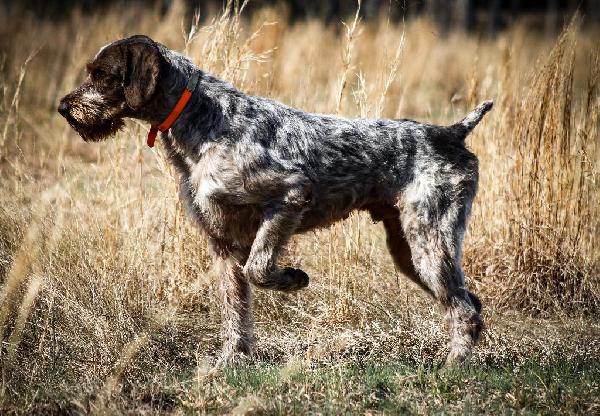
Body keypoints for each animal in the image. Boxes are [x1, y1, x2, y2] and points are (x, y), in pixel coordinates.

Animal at [57, 36, 492, 368]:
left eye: (101, 74)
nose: (63, 107)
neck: (200, 119)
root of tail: (451, 133)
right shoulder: (222, 244)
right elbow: (234, 311)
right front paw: (231, 362)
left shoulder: (291, 194)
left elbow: (259, 268)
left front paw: (294, 279)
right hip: (409, 251)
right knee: (469, 302)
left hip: (428, 243)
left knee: (464, 310)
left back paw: (452, 366)